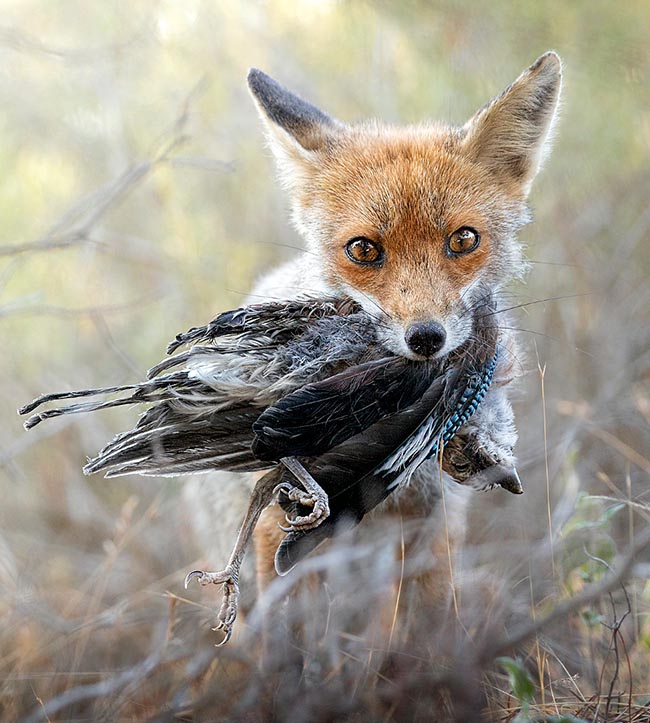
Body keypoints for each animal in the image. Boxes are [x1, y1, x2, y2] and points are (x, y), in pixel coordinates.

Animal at [180, 55, 560, 632]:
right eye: (363, 250)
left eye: (464, 239)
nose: (426, 338)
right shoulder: (280, 526)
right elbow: (288, 634)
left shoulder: (431, 528)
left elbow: (424, 629)